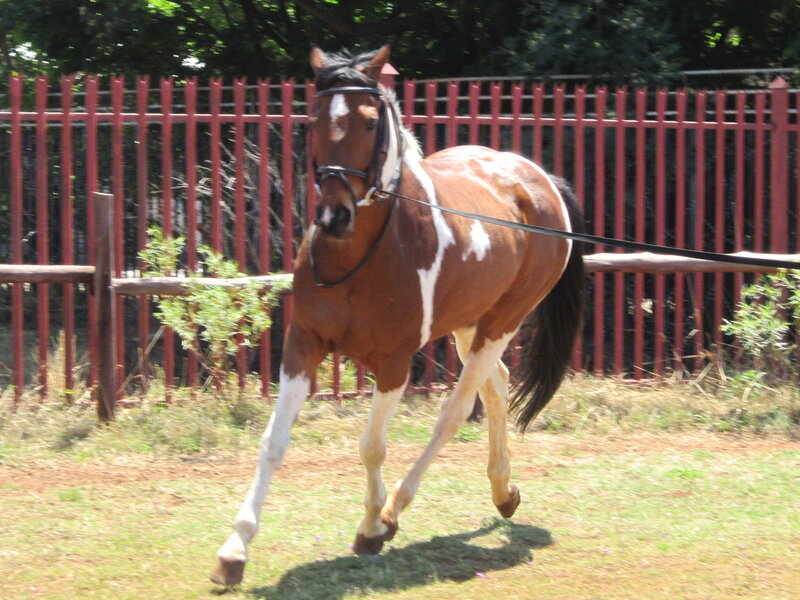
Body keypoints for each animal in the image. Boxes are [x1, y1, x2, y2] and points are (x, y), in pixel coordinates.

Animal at [211, 45, 585, 586]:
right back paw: (504, 492)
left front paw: (371, 525)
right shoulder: (302, 344)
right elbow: (273, 442)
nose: (335, 216)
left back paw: (396, 512)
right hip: (470, 325)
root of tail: (539, 181)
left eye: (370, 123)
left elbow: (372, 446)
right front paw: (234, 551)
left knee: (455, 412)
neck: (360, 257)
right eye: (313, 119)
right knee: (496, 385)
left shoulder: (393, 363)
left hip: (502, 321)